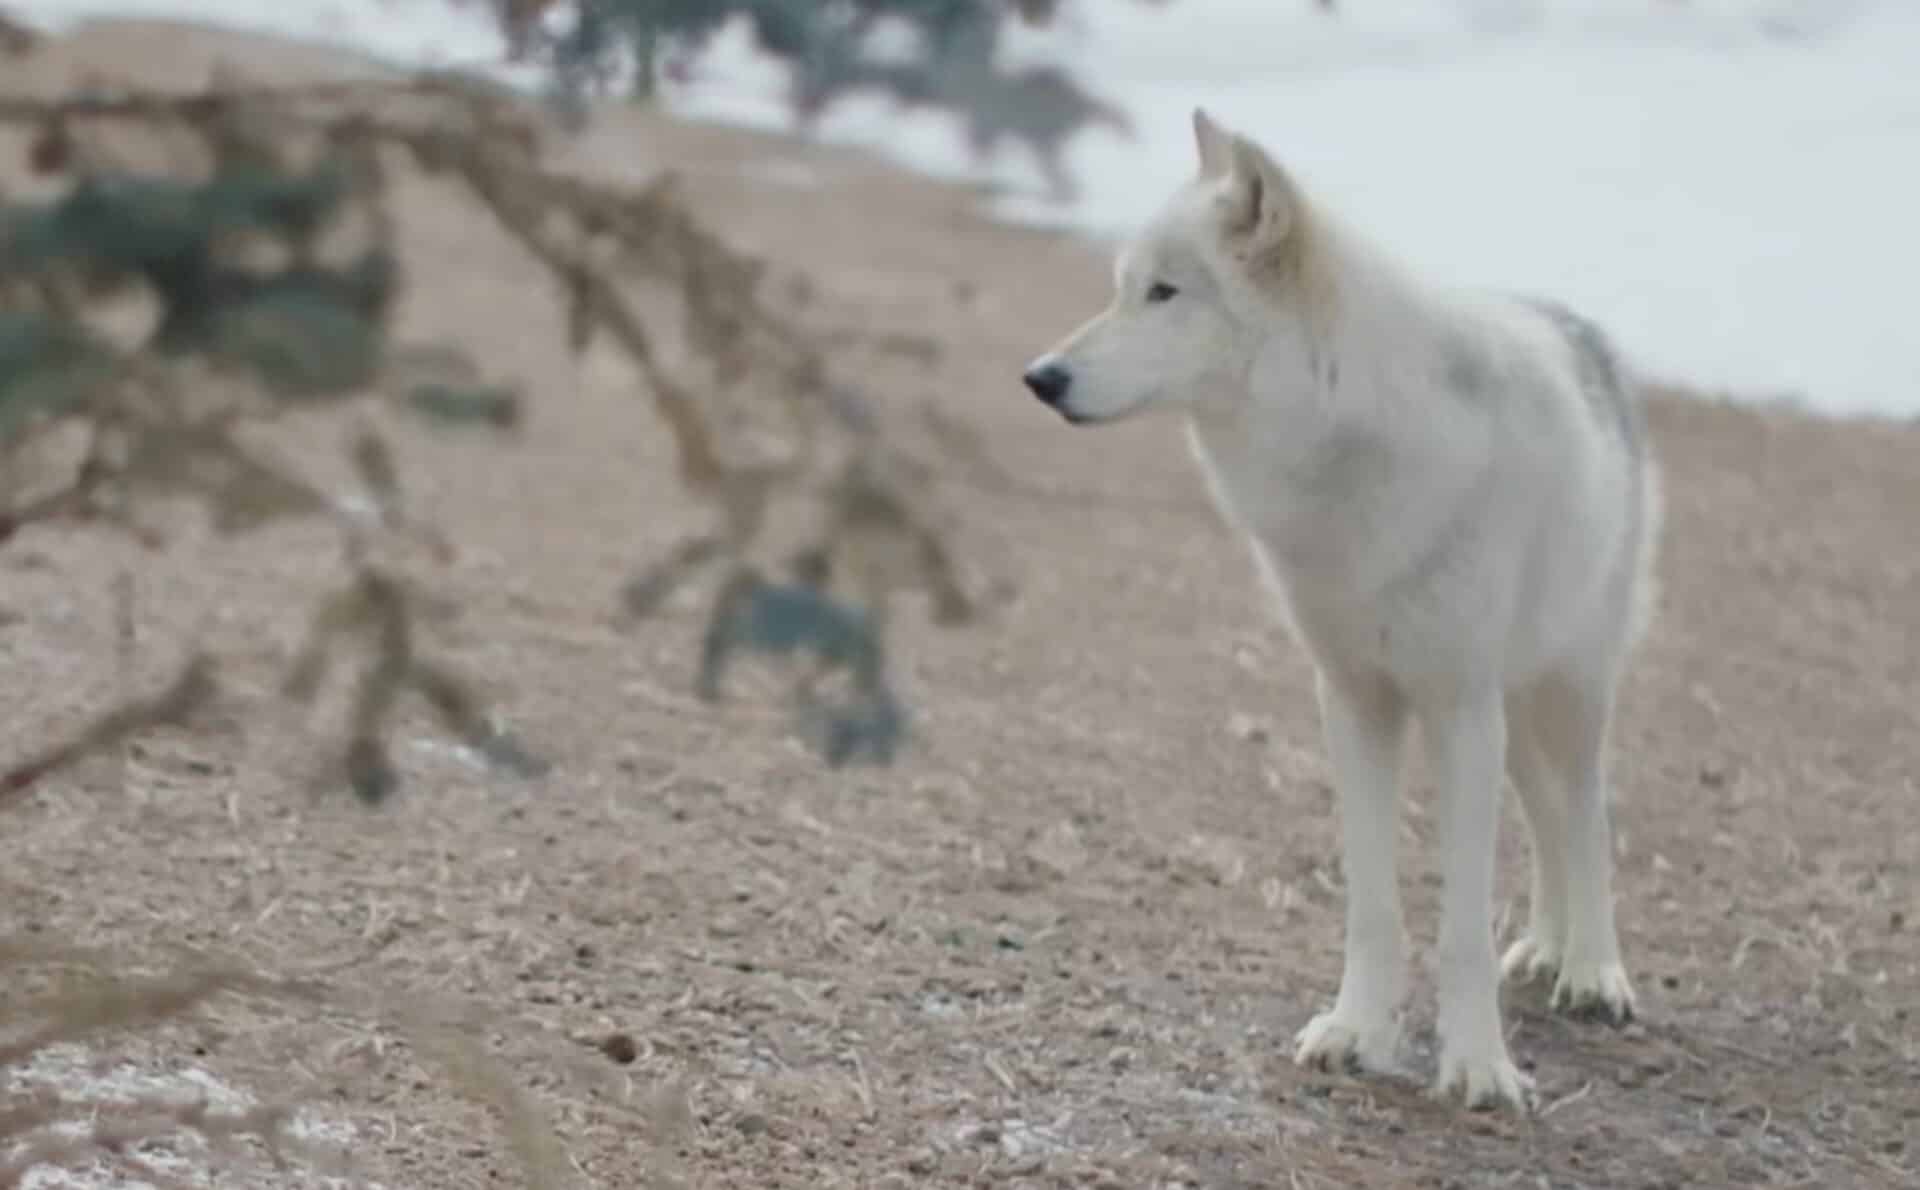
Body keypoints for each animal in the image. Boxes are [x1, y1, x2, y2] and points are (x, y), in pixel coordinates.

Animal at [1021, 110, 1661, 1111]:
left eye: (1165, 293)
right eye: (1123, 289)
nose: (1040, 377)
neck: (1344, 449)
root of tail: (1579, 325)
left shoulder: (1457, 709)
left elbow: (1461, 925)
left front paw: (1478, 1068)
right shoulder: (1354, 703)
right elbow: (1374, 905)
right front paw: (1359, 1032)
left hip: (1566, 693)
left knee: (1588, 819)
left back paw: (1592, 972)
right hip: (1515, 713)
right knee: (1547, 821)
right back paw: (1546, 950)